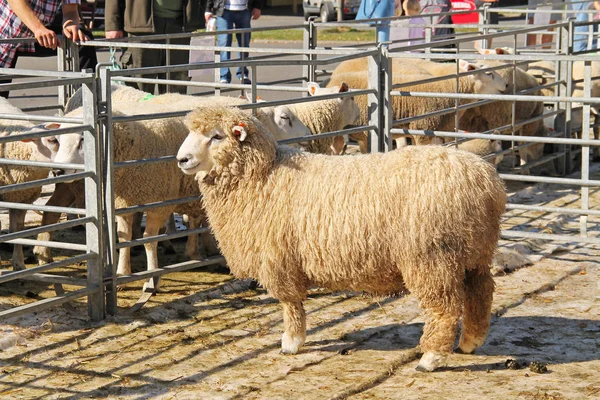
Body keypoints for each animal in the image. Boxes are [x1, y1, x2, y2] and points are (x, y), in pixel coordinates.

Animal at [177, 105, 506, 372]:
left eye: (216, 136)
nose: (182, 159)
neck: (263, 176)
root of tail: (486, 181)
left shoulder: (279, 257)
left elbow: (290, 303)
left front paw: (291, 342)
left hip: (431, 255)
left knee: (445, 308)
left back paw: (431, 358)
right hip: (474, 251)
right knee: (481, 292)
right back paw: (471, 341)